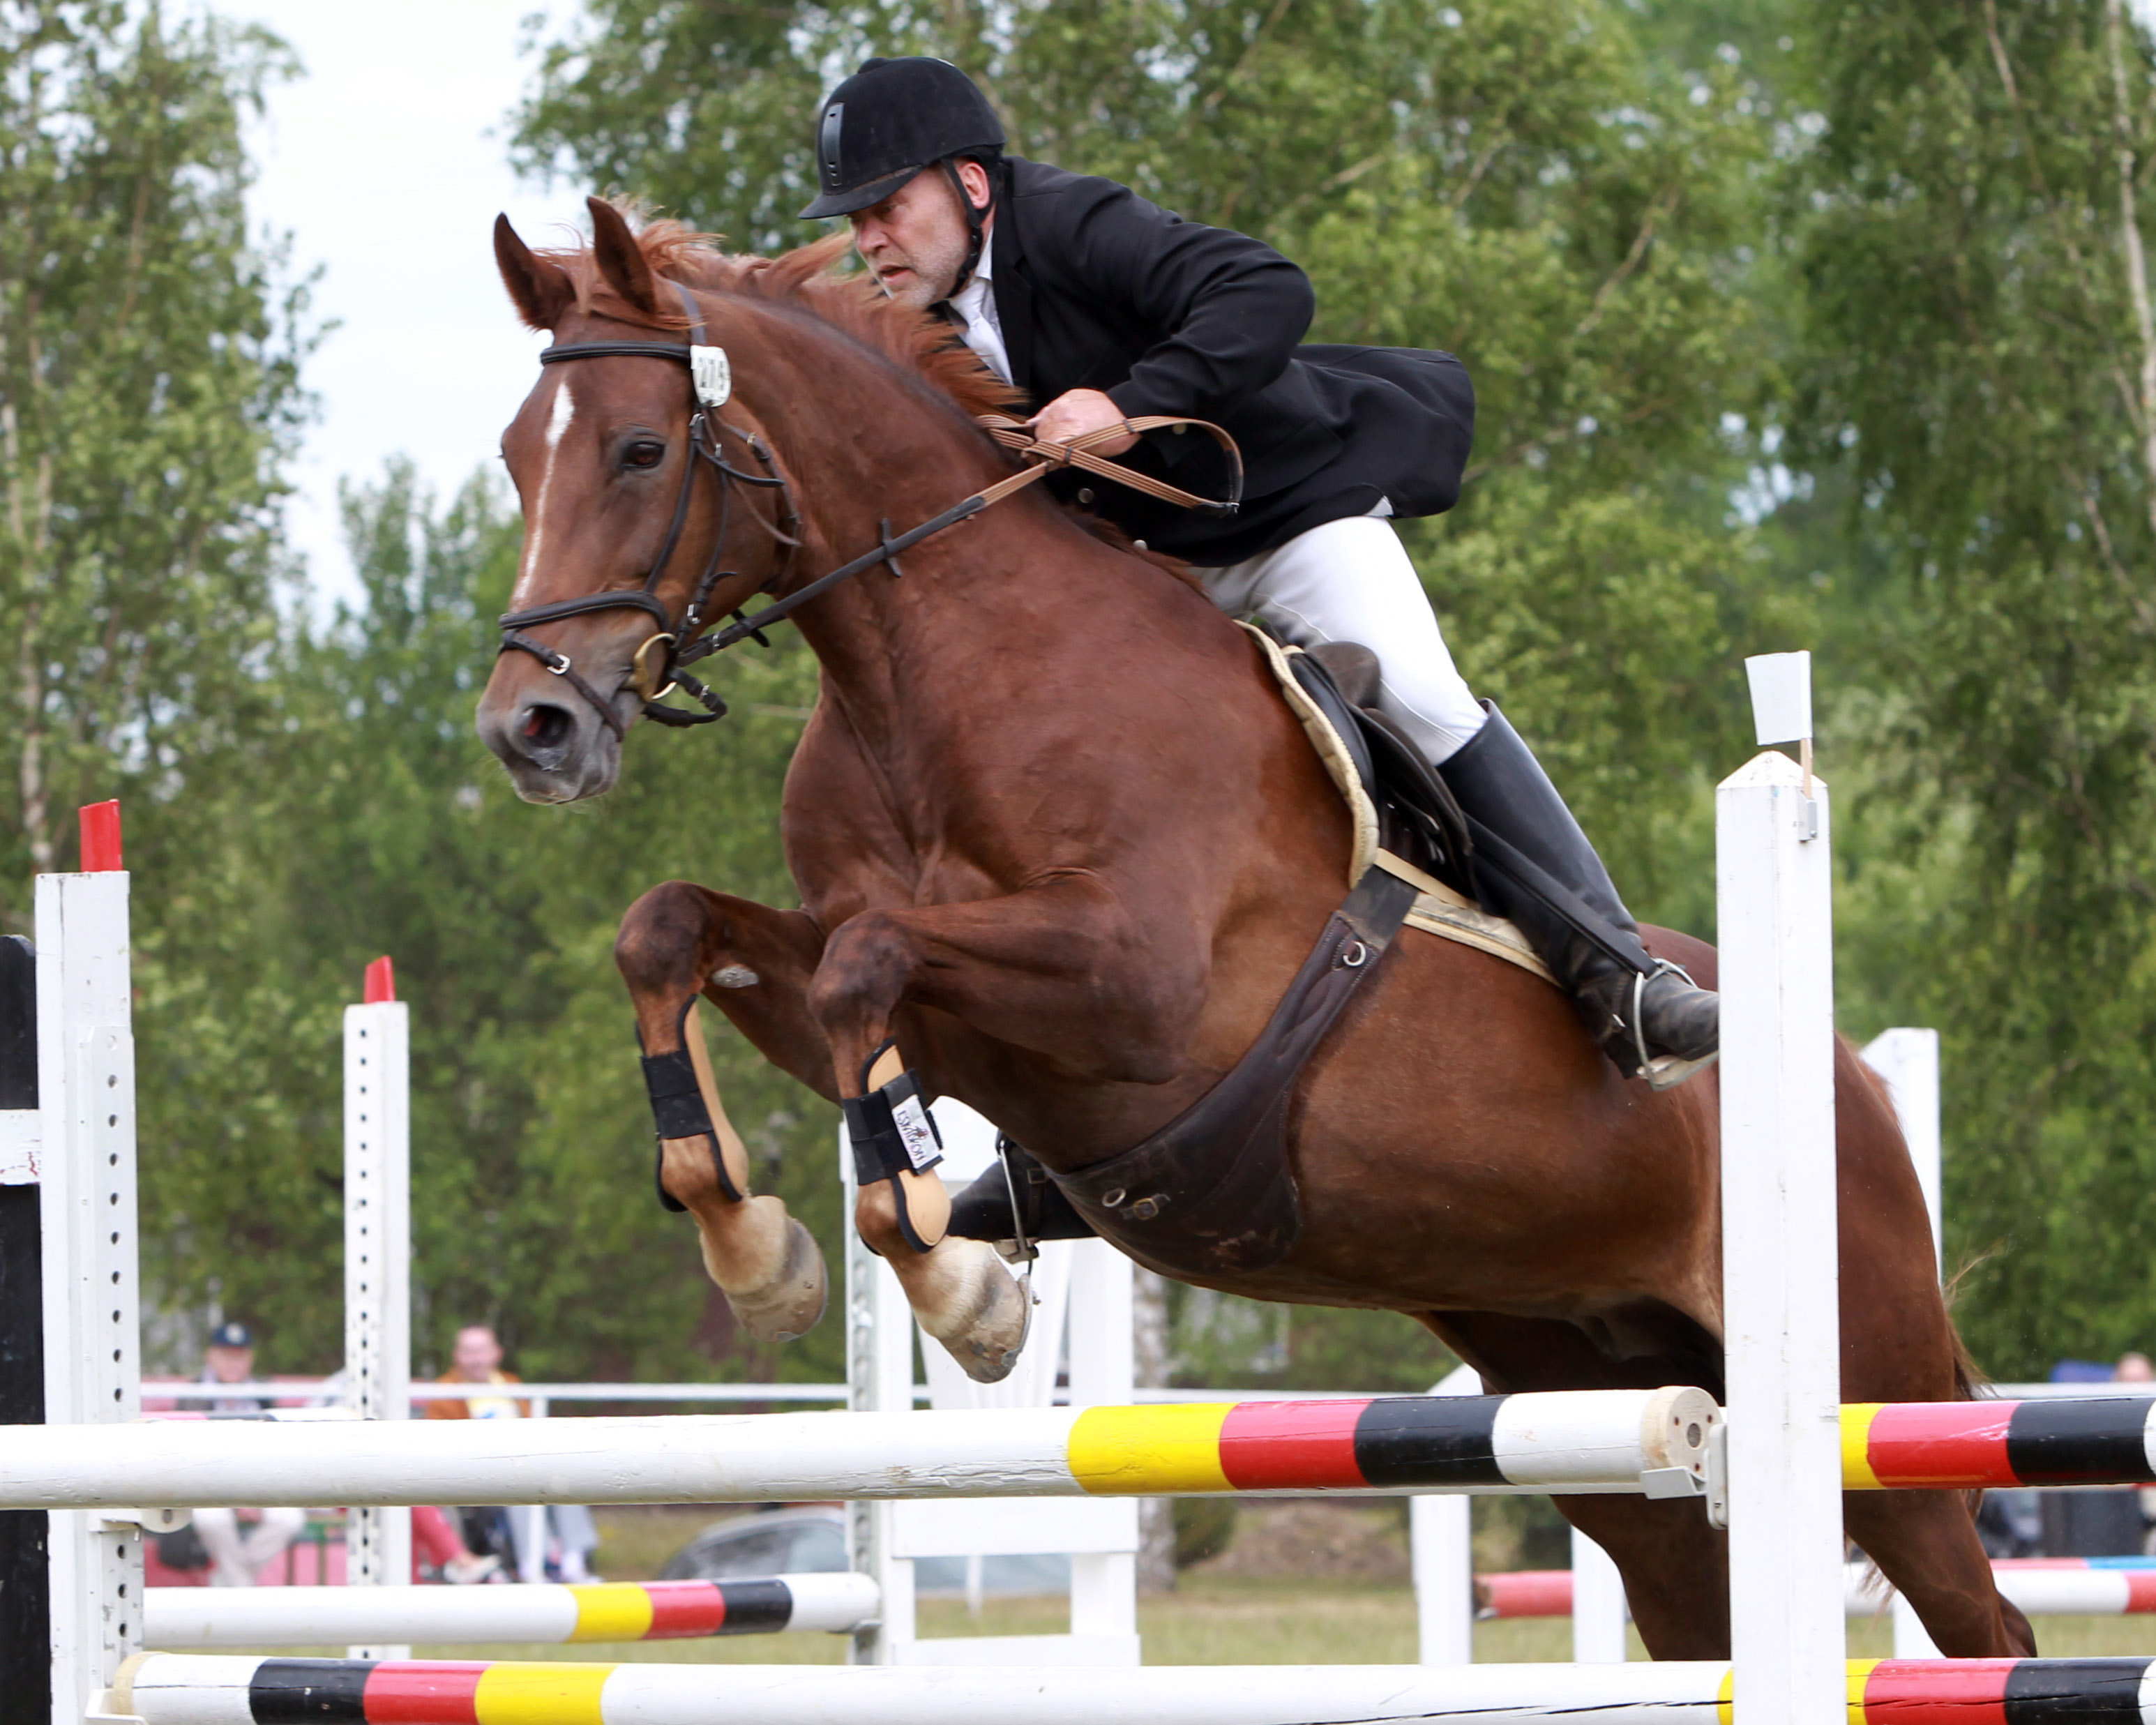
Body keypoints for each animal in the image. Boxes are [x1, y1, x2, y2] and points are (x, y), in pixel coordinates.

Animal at [476, 198, 2035, 1656]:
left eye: (638, 450)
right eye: (512, 456)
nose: (529, 728)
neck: (935, 673)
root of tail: (1854, 1074)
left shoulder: (1134, 986)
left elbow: (874, 967)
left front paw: (960, 1284)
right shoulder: (902, 1011)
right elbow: (674, 932)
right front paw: (763, 1250)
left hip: (1867, 1393)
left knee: (1982, 1620)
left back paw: (1650, 998)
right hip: (1590, 1383)